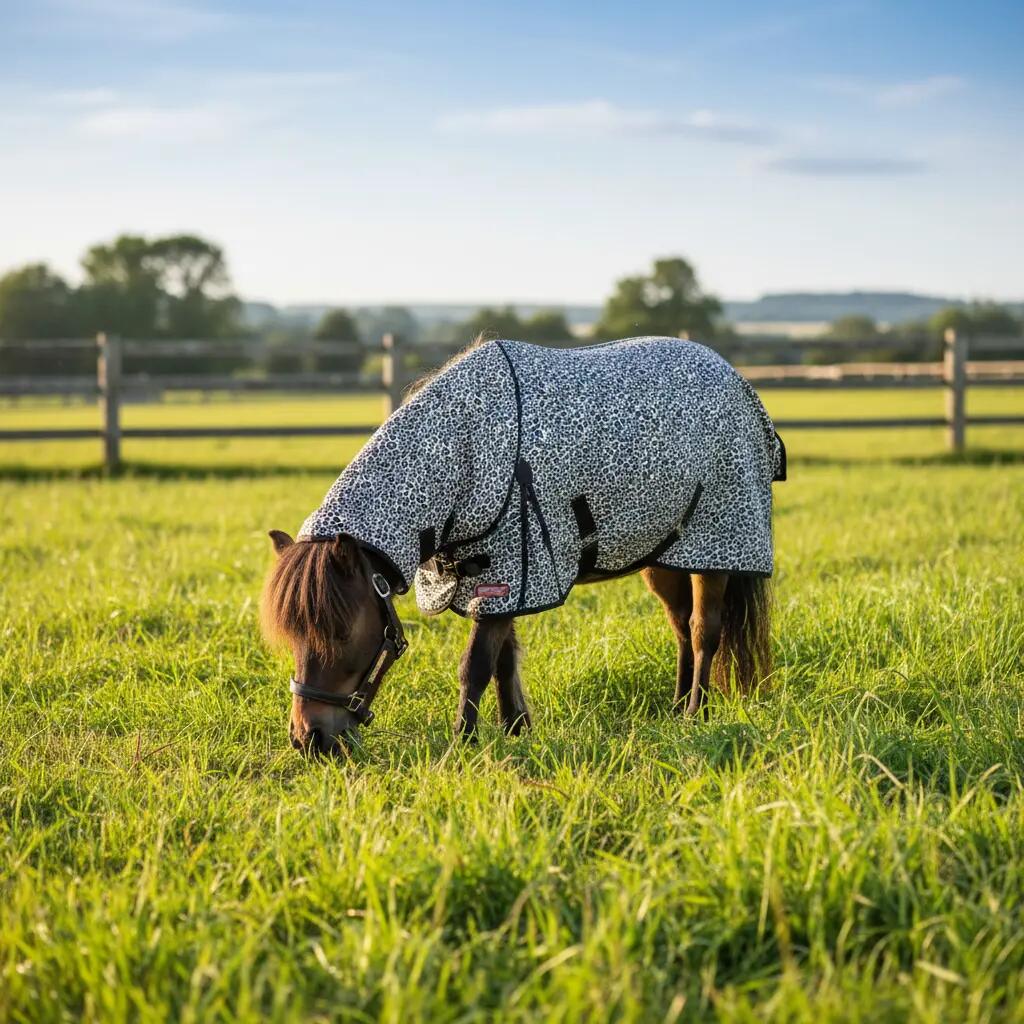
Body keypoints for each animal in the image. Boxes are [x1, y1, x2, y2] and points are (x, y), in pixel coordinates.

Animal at [261, 336, 784, 756]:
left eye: (341, 633)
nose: (309, 739)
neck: (468, 446)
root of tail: (735, 379)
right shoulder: (504, 577)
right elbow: (503, 659)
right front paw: (516, 730)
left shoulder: (510, 572)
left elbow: (475, 665)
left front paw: (465, 743)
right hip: (663, 556)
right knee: (679, 626)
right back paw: (676, 707)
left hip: (715, 550)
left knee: (702, 631)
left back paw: (696, 711)